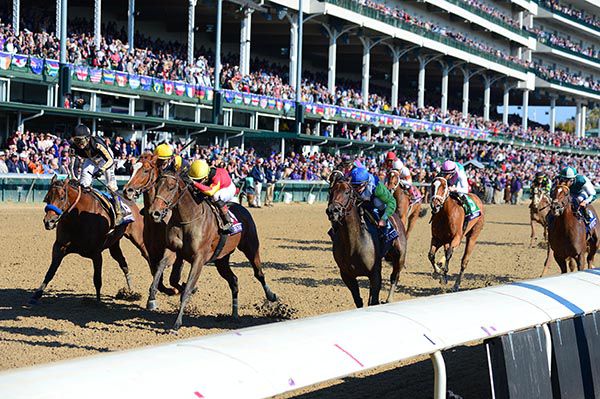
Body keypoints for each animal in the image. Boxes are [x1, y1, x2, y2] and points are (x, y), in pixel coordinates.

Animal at [123, 153, 183, 296]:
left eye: (145, 170)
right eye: (131, 169)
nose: (127, 190)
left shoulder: (171, 251)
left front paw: (176, 288)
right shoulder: (151, 251)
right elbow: (158, 277)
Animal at [146, 170, 278, 330]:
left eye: (171, 187)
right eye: (156, 186)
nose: (154, 213)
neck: (187, 218)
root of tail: (243, 208)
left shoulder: (198, 259)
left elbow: (187, 289)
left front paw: (177, 323)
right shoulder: (172, 250)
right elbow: (161, 269)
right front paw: (152, 299)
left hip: (250, 247)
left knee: (259, 273)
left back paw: (271, 295)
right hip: (222, 259)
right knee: (233, 280)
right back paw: (234, 315)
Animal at [328, 181, 408, 310]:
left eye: (347, 192)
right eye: (331, 191)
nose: (332, 210)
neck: (353, 245)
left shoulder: (375, 274)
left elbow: (373, 301)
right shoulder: (346, 275)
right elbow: (358, 301)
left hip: (400, 257)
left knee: (394, 276)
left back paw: (389, 299)